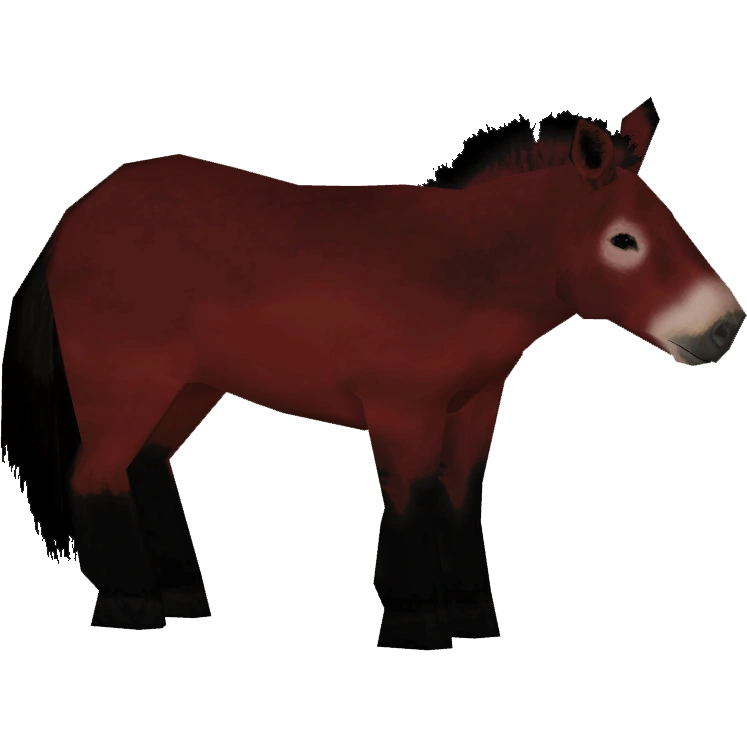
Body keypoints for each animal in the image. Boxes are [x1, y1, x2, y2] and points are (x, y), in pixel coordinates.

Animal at [1, 97, 743, 653]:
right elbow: (411, 498)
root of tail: (75, 215)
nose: (724, 326)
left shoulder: (472, 405)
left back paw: (183, 597)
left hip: (187, 388)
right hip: (128, 385)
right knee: (96, 474)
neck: (460, 270)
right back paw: (132, 608)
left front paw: (474, 616)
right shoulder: (403, 411)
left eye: (670, 219)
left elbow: (458, 495)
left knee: (143, 466)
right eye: (623, 241)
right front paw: (420, 626)